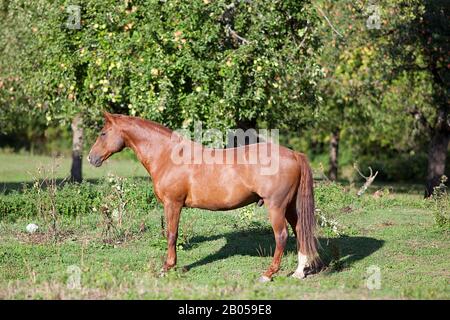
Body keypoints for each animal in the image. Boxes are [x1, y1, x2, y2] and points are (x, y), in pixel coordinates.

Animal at [88, 113, 318, 282]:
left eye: (103, 133)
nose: (91, 158)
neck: (168, 156)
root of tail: (293, 154)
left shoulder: (173, 204)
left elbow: (171, 235)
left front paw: (167, 267)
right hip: (290, 206)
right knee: (300, 231)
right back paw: (299, 272)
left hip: (276, 206)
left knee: (282, 236)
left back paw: (268, 274)